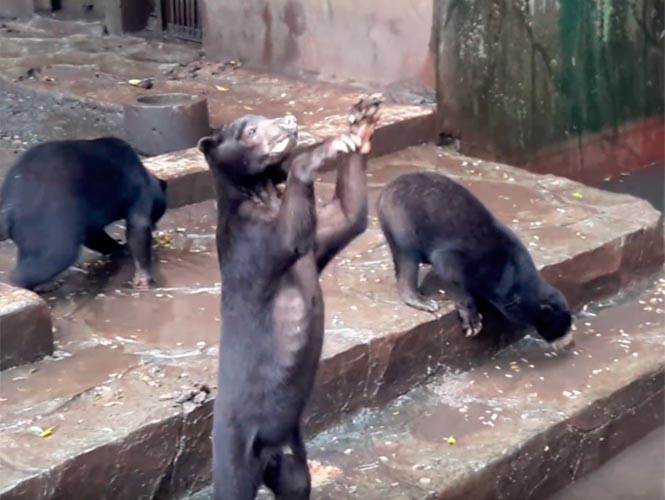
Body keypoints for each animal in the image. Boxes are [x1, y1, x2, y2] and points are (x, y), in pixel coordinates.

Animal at [0, 137, 167, 291]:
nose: (156, 226)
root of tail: (9, 207)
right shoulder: (138, 190)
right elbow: (138, 226)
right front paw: (143, 277)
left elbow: (94, 235)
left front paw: (118, 248)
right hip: (49, 222)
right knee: (56, 255)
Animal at [198, 94, 383, 500]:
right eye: (250, 130)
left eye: (263, 117)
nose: (289, 120)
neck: (263, 196)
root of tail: (269, 452)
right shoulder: (255, 242)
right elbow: (289, 233)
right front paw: (327, 148)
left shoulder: (318, 239)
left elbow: (349, 215)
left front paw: (362, 120)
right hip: (233, 451)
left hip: (291, 467)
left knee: (296, 484)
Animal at [377, 171, 573, 350]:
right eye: (561, 325)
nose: (569, 343)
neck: (507, 271)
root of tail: (386, 190)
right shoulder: (463, 255)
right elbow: (450, 272)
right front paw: (473, 322)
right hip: (401, 220)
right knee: (407, 259)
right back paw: (423, 302)